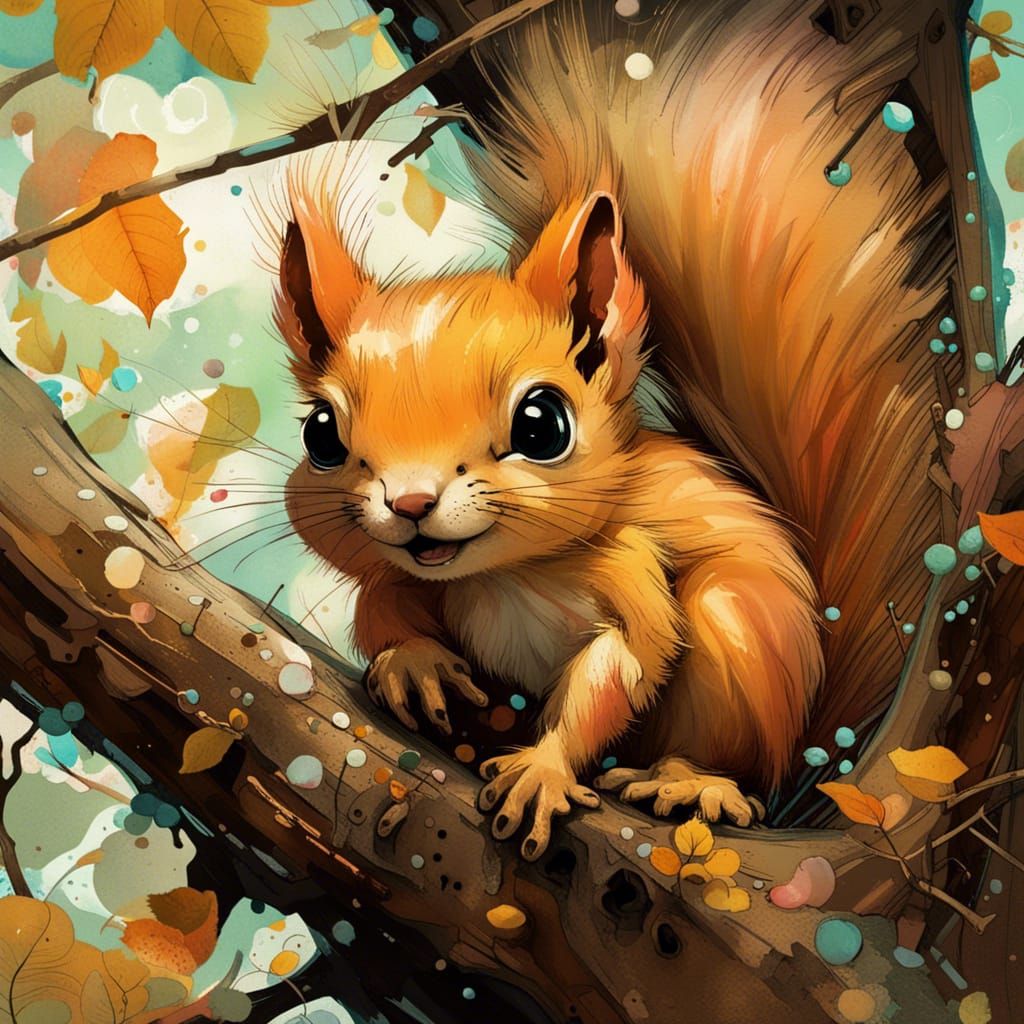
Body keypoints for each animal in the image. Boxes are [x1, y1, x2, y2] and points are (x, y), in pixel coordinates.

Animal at [275, 2, 945, 859]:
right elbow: (381, 606)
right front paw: (414, 663)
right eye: (321, 435)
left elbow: (618, 669)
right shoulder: (406, 574)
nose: (411, 504)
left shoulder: (632, 568)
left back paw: (690, 781)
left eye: (542, 424)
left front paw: (543, 770)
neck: (499, 575)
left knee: (729, 760)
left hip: (740, 642)